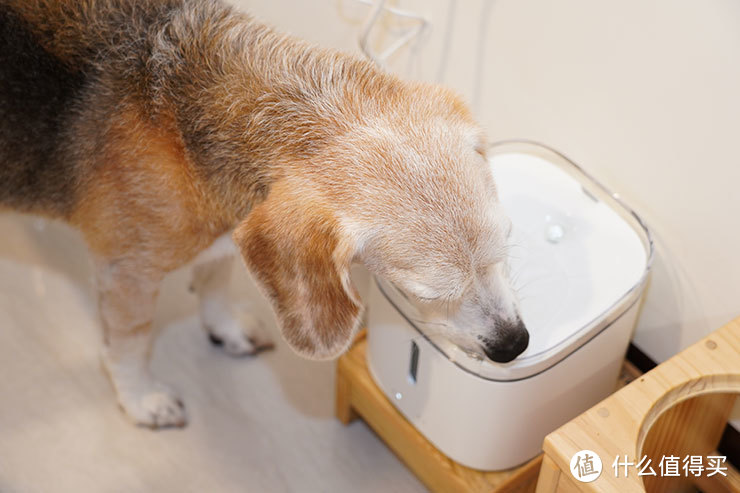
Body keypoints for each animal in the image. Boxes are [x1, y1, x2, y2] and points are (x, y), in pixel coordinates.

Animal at [2, 0, 528, 426]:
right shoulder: (127, 273)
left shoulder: (223, 232)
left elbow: (214, 282)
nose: (514, 345)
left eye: (506, 245)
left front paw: (224, 328)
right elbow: (128, 345)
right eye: (423, 293)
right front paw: (141, 400)